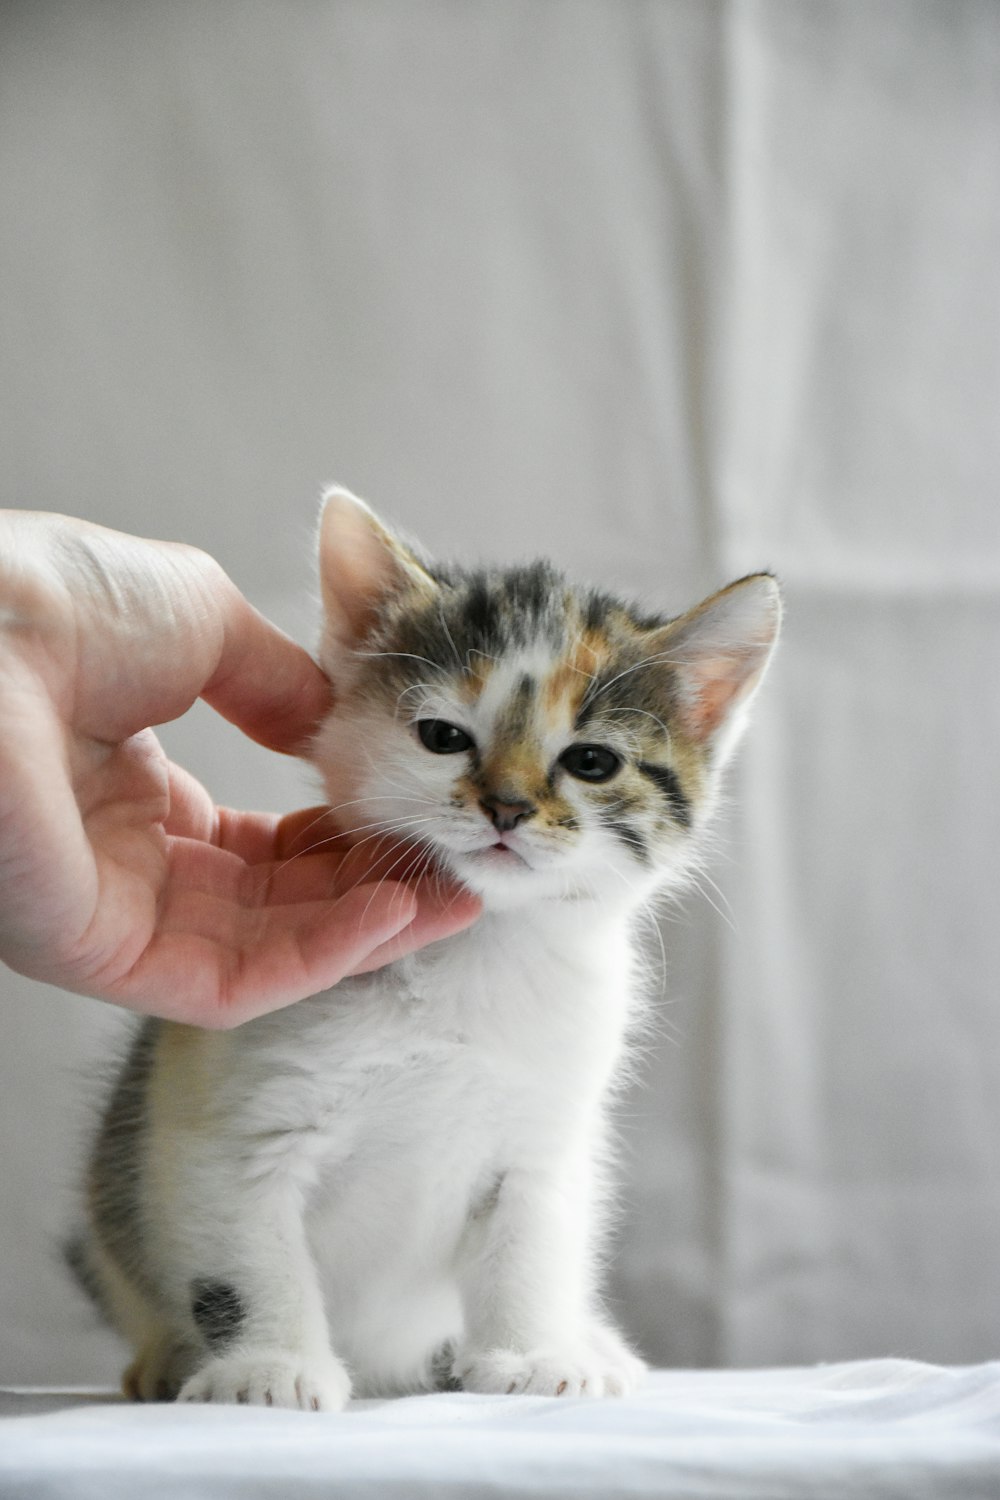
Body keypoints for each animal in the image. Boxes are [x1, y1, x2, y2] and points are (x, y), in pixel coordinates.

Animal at [70, 483, 779, 1404]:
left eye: (592, 761)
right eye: (443, 736)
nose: (507, 806)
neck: (473, 957)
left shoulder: (546, 1136)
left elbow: (533, 1245)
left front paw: (528, 1355)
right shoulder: (219, 1119)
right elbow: (247, 1255)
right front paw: (270, 1366)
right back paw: (166, 1360)